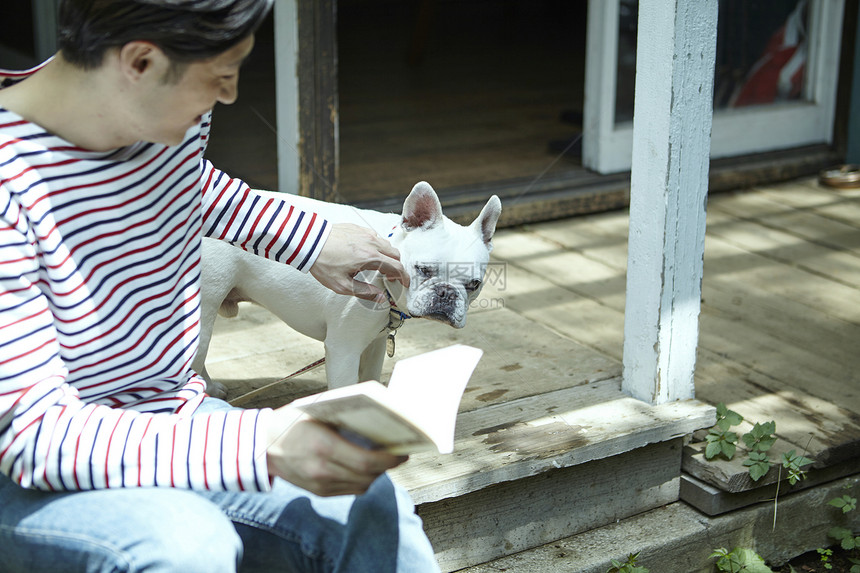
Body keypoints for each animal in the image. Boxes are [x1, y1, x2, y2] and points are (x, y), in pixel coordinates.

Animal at [195, 181, 500, 396]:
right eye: (424, 270)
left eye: (474, 285)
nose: (446, 293)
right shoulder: (344, 349)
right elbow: (345, 389)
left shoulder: (376, 343)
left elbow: (369, 380)